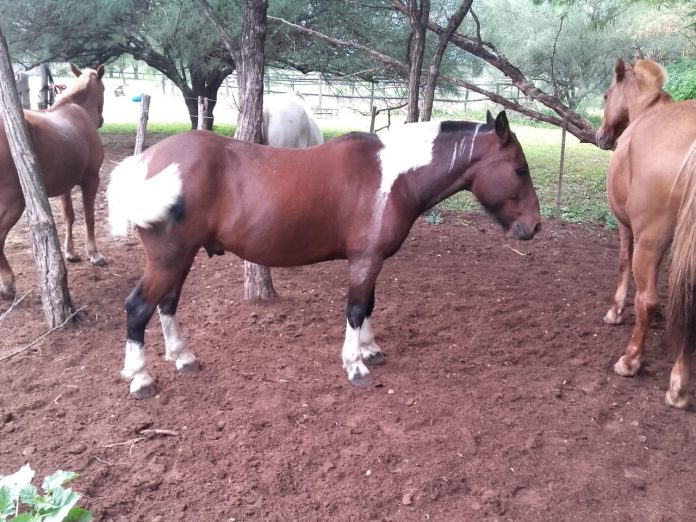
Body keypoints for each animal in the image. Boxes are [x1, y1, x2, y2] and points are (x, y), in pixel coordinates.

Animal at [0, 64, 107, 300]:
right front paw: (94, 254)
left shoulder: (65, 186)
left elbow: (69, 217)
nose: (102, 121)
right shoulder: (91, 180)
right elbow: (89, 216)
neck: (77, 109)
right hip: (14, 202)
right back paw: (8, 284)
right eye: (104, 89)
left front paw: (71, 252)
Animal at [107, 110, 541, 399]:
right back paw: (141, 378)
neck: (391, 178)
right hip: (168, 258)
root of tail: (145, 161)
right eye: (519, 169)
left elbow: (368, 305)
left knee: (167, 303)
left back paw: (183, 358)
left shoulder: (370, 260)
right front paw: (355, 365)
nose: (535, 226)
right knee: (138, 308)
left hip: (180, 258)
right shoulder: (365, 259)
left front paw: (370, 349)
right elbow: (356, 308)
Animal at [596, 58, 696, 408]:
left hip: (649, 240)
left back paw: (630, 361)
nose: (601, 135)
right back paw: (679, 387)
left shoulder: (628, 229)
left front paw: (615, 311)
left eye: (605, 95)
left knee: (648, 299)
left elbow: (623, 266)